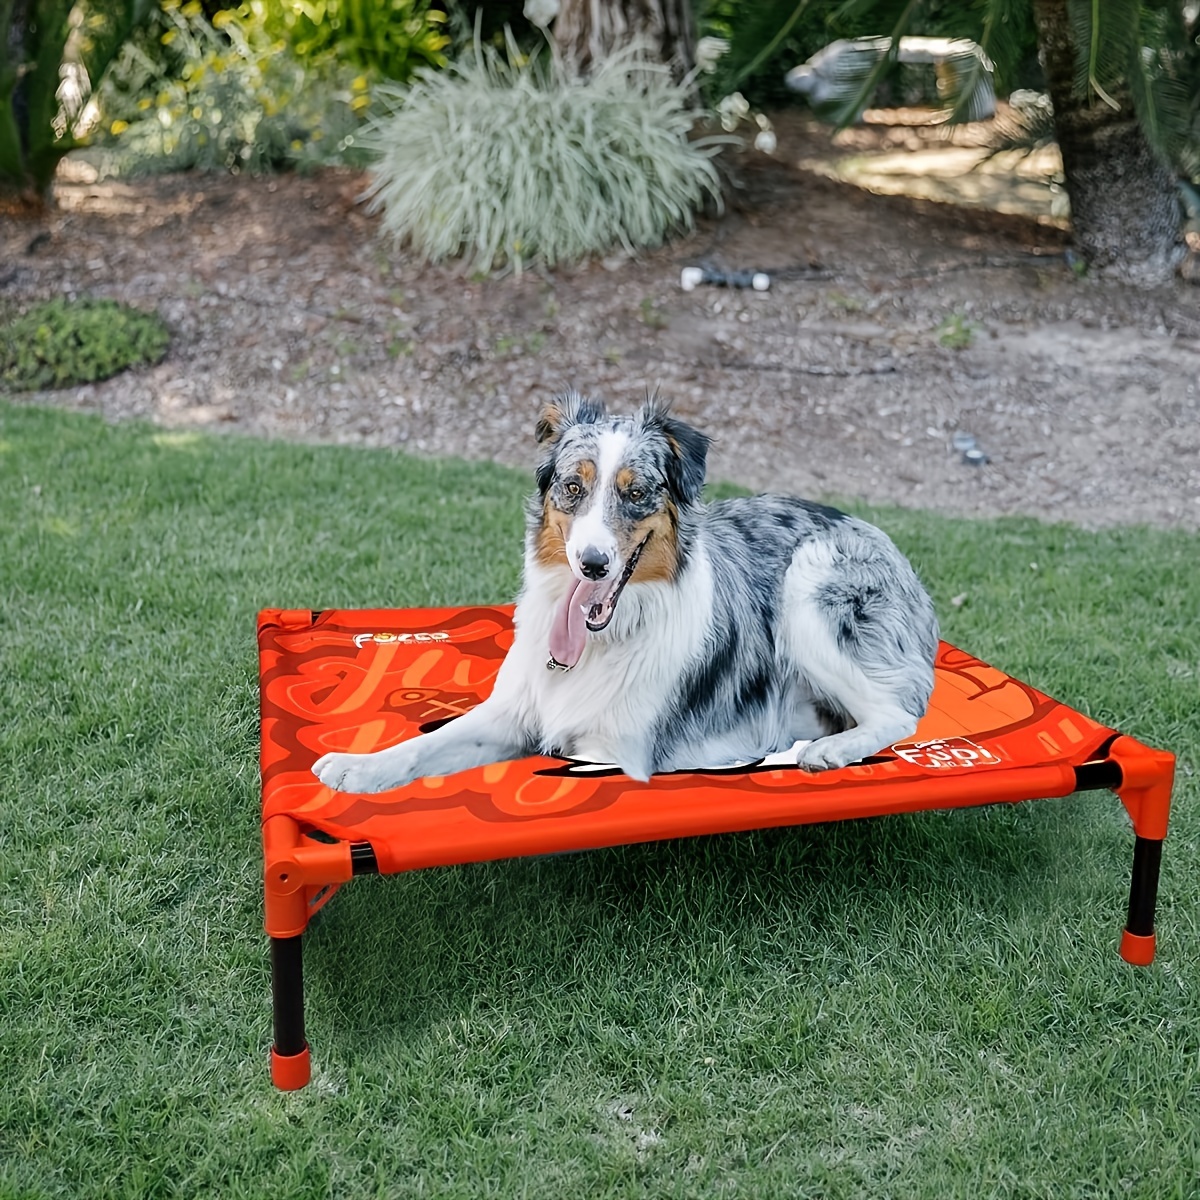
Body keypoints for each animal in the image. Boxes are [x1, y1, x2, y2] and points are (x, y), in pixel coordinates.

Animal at [314, 388, 940, 792]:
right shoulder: (514, 714)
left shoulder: (622, 752)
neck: (600, 642)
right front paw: (358, 767)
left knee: (899, 712)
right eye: (572, 487)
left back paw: (826, 750)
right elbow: (425, 745)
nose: (592, 565)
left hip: (811, 590)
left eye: (636, 492)